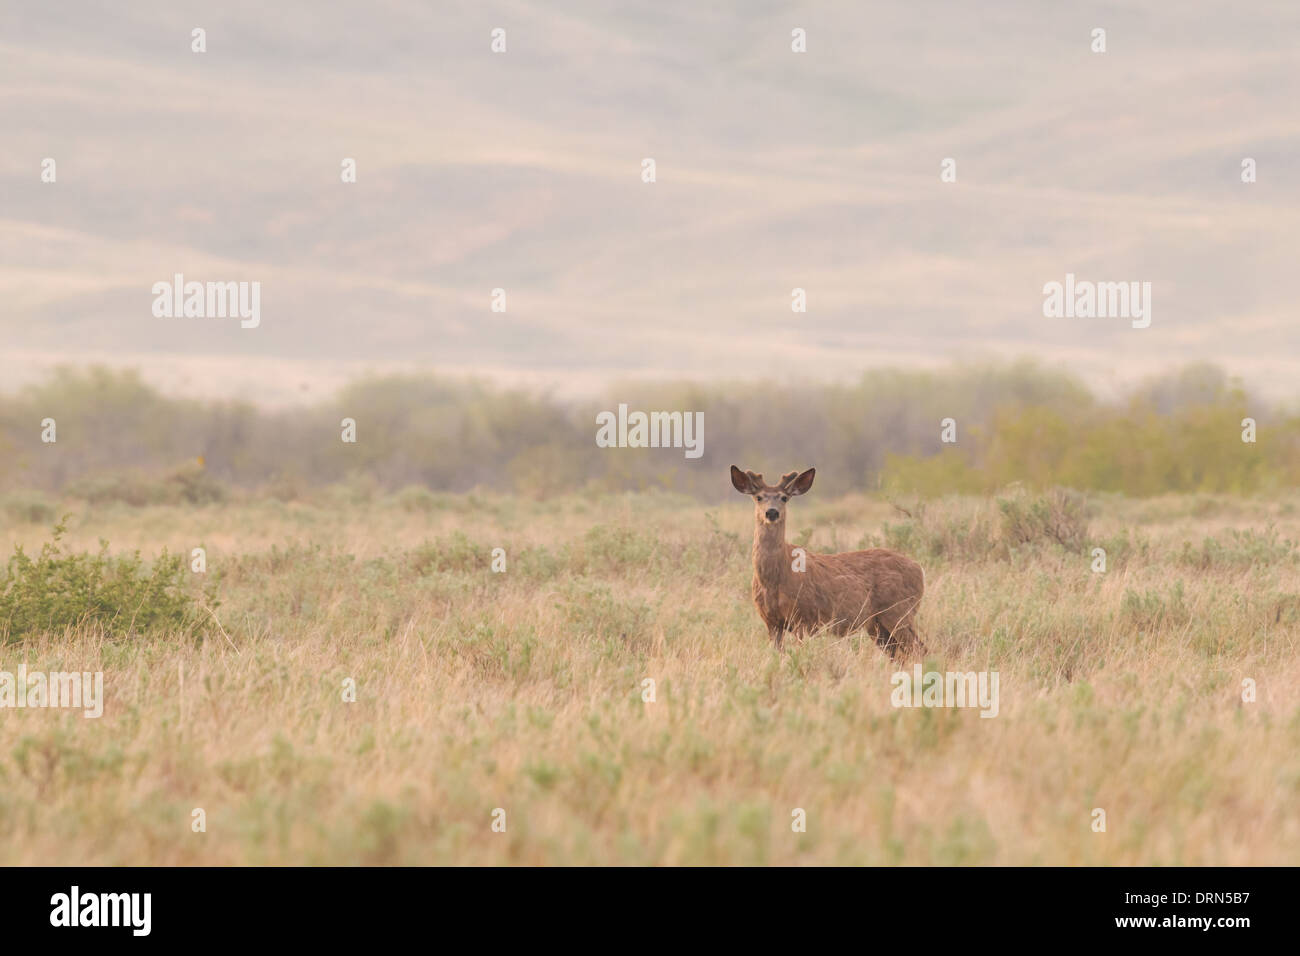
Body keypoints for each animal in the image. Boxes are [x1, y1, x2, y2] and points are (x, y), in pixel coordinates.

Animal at [728, 468, 930, 660]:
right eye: (758, 497)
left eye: (784, 498)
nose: (771, 512)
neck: (774, 579)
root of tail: (919, 568)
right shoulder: (771, 621)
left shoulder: (804, 617)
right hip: (877, 625)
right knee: (900, 654)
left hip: (899, 611)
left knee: (920, 649)